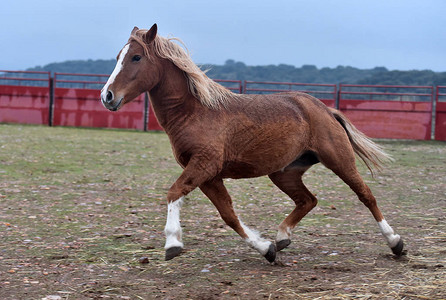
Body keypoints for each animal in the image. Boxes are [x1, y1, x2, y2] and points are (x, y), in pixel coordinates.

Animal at [100, 24, 404, 262]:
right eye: (118, 57)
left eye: (136, 57)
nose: (107, 96)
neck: (195, 112)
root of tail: (325, 109)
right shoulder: (208, 176)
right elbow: (228, 215)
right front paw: (266, 248)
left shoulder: (204, 165)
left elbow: (175, 192)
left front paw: (173, 243)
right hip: (284, 173)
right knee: (308, 200)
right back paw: (282, 237)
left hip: (339, 160)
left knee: (366, 195)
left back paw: (396, 243)